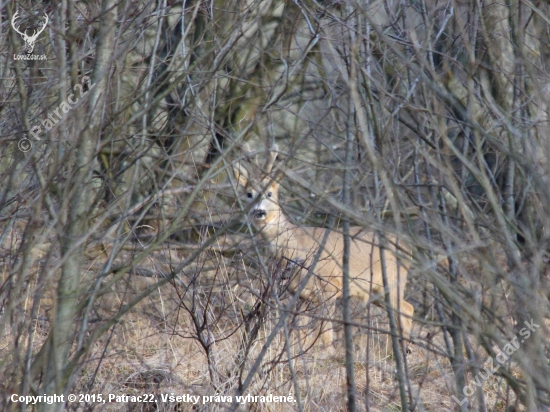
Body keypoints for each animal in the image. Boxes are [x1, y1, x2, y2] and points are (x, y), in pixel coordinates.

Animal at [235, 144, 416, 350]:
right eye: (249, 194)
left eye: (269, 193)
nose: (259, 212)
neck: (296, 247)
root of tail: (408, 246)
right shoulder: (300, 294)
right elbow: (302, 332)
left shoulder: (332, 286)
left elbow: (326, 333)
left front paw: (328, 353)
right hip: (376, 291)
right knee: (408, 308)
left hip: (393, 279)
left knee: (406, 310)